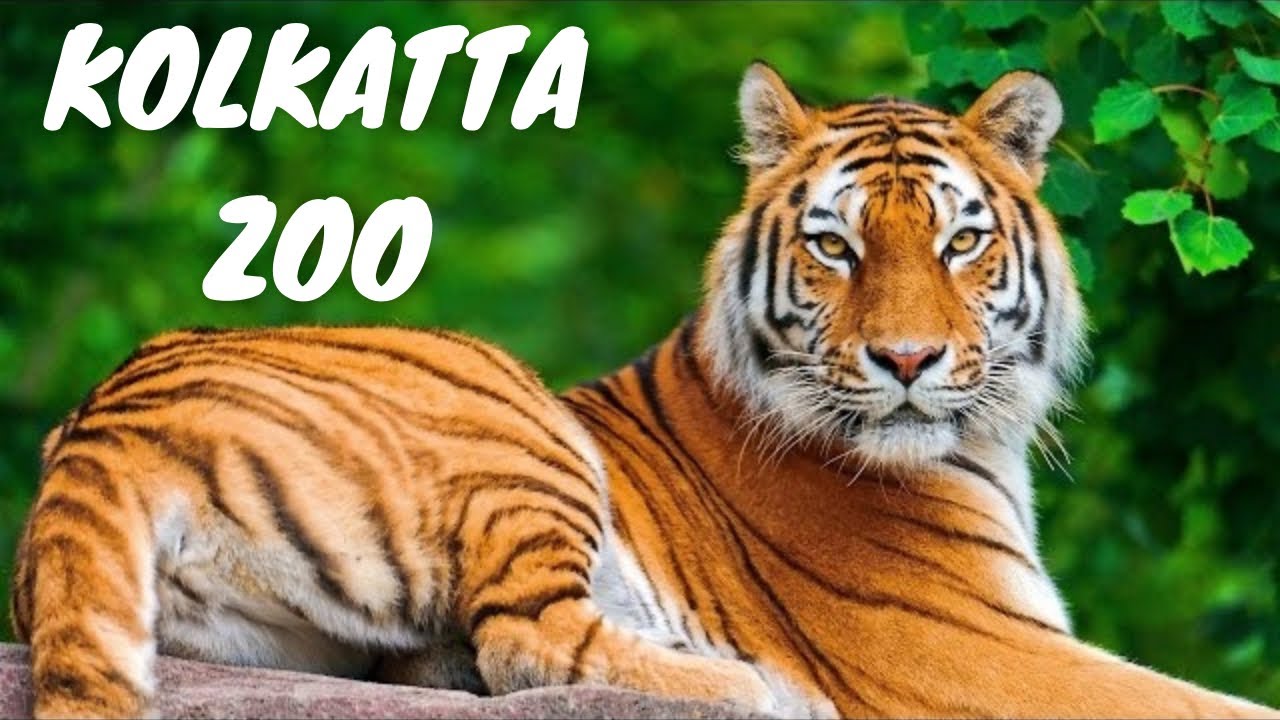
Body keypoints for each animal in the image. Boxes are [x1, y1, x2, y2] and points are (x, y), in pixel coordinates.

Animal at [12, 64, 1279, 719]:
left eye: (959, 241)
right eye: (835, 247)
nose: (908, 363)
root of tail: (100, 424)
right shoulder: (974, 653)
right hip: (510, 414)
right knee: (527, 640)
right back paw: (746, 686)